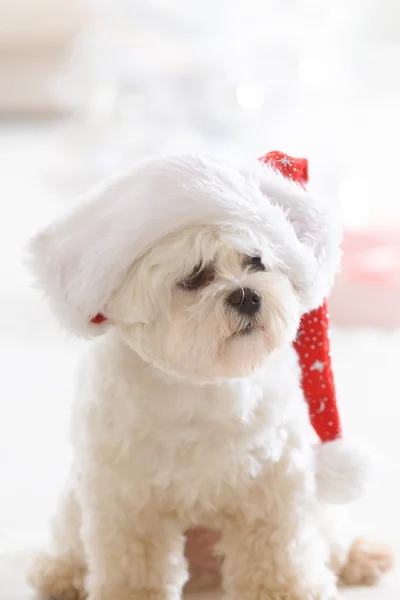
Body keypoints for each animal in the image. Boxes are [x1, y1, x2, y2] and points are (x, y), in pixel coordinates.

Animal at [25, 154, 390, 600]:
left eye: (256, 261)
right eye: (195, 276)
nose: (247, 294)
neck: (202, 384)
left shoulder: (273, 484)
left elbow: (276, 553)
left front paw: (284, 589)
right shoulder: (127, 498)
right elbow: (134, 564)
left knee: (333, 538)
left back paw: (362, 557)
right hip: (74, 503)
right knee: (70, 542)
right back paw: (60, 573)